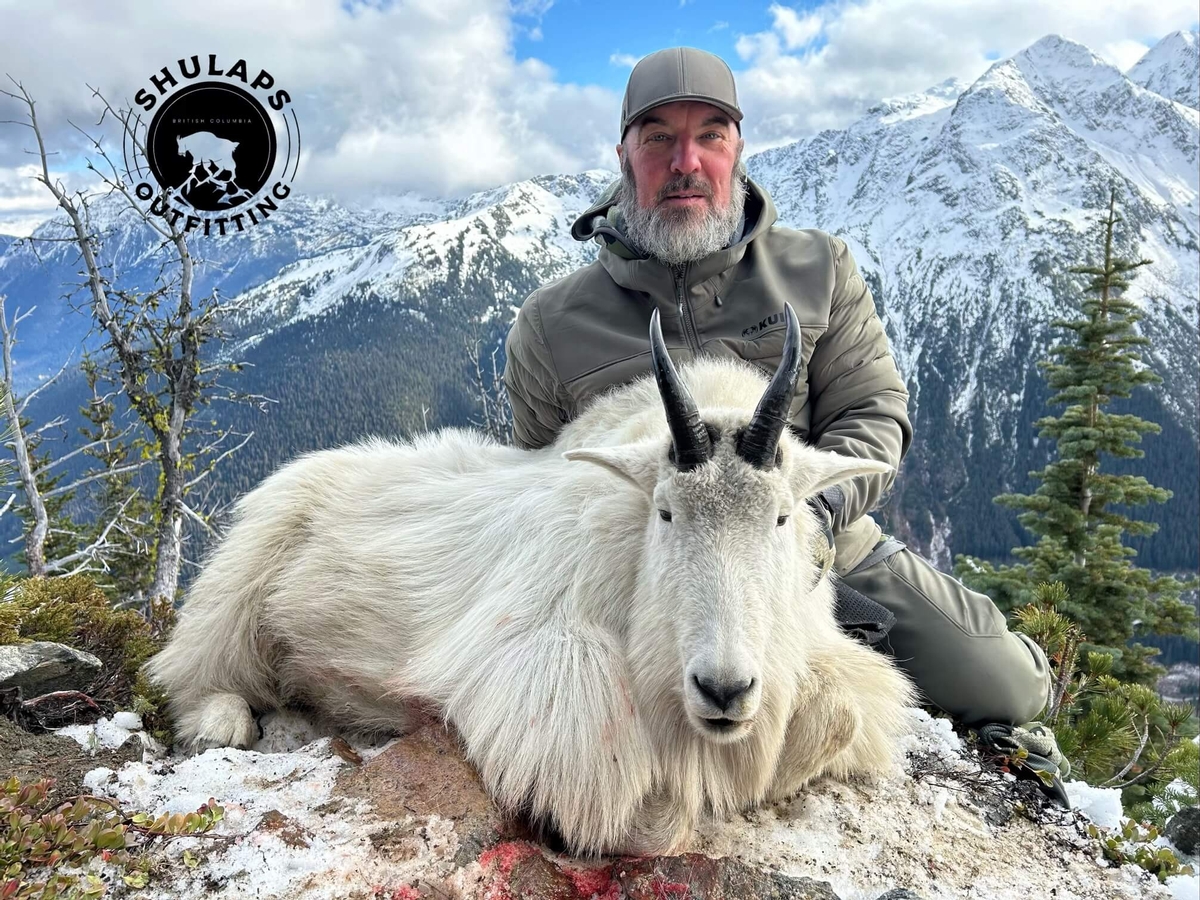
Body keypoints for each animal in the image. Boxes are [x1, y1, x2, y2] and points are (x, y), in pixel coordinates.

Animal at [145, 303, 915, 856]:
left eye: (782, 517)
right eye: (666, 511)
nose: (723, 689)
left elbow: (842, 715)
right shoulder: (549, 673)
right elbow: (643, 812)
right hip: (242, 581)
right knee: (193, 672)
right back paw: (225, 720)